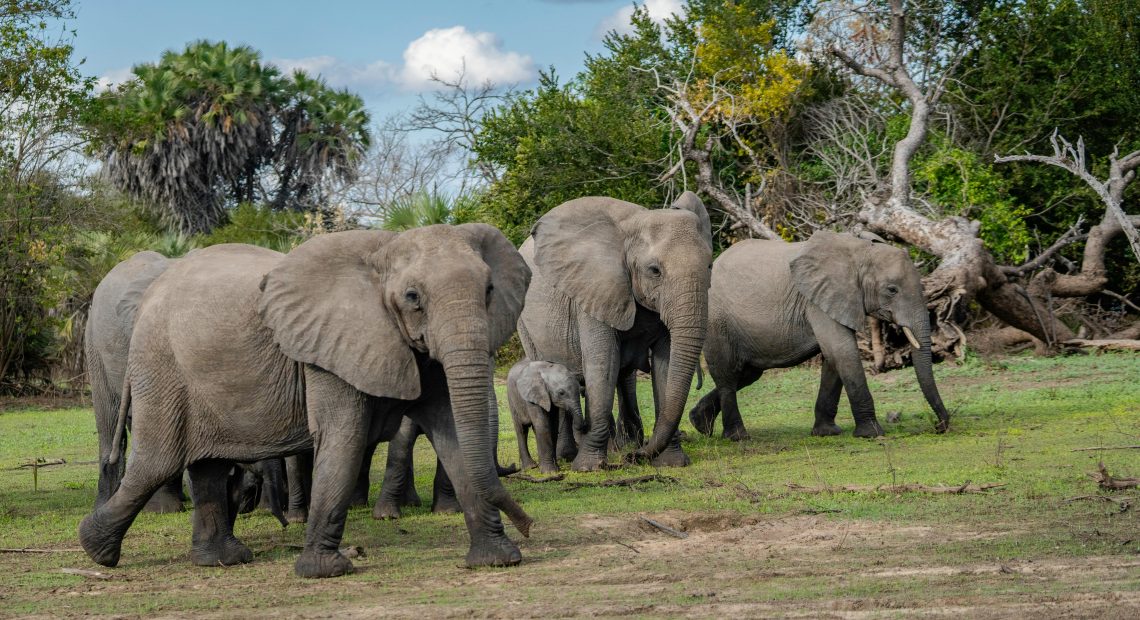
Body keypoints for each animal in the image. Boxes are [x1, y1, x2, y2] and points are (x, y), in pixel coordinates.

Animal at [79, 224, 533, 578]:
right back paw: (95, 549)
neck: (384, 251)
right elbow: (344, 437)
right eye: (412, 297)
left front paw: (498, 560)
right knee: (159, 460)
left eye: (489, 289)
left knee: (207, 464)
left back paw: (224, 560)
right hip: (160, 366)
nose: (529, 525)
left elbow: (453, 433)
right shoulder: (330, 349)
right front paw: (325, 571)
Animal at [517, 192, 713, 470]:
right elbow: (603, 363)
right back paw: (569, 456)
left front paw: (671, 462)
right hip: (525, 322)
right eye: (654, 270)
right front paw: (588, 467)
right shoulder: (593, 287)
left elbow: (665, 365)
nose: (635, 458)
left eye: (709, 266)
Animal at [688, 231, 951, 440]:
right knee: (727, 374)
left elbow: (833, 357)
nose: (940, 427)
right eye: (892, 290)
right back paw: (737, 436)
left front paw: (827, 433)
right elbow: (843, 352)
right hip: (715, 320)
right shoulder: (816, 301)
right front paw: (872, 434)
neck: (858, 252)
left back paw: (700, 424)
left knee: (747, 374)